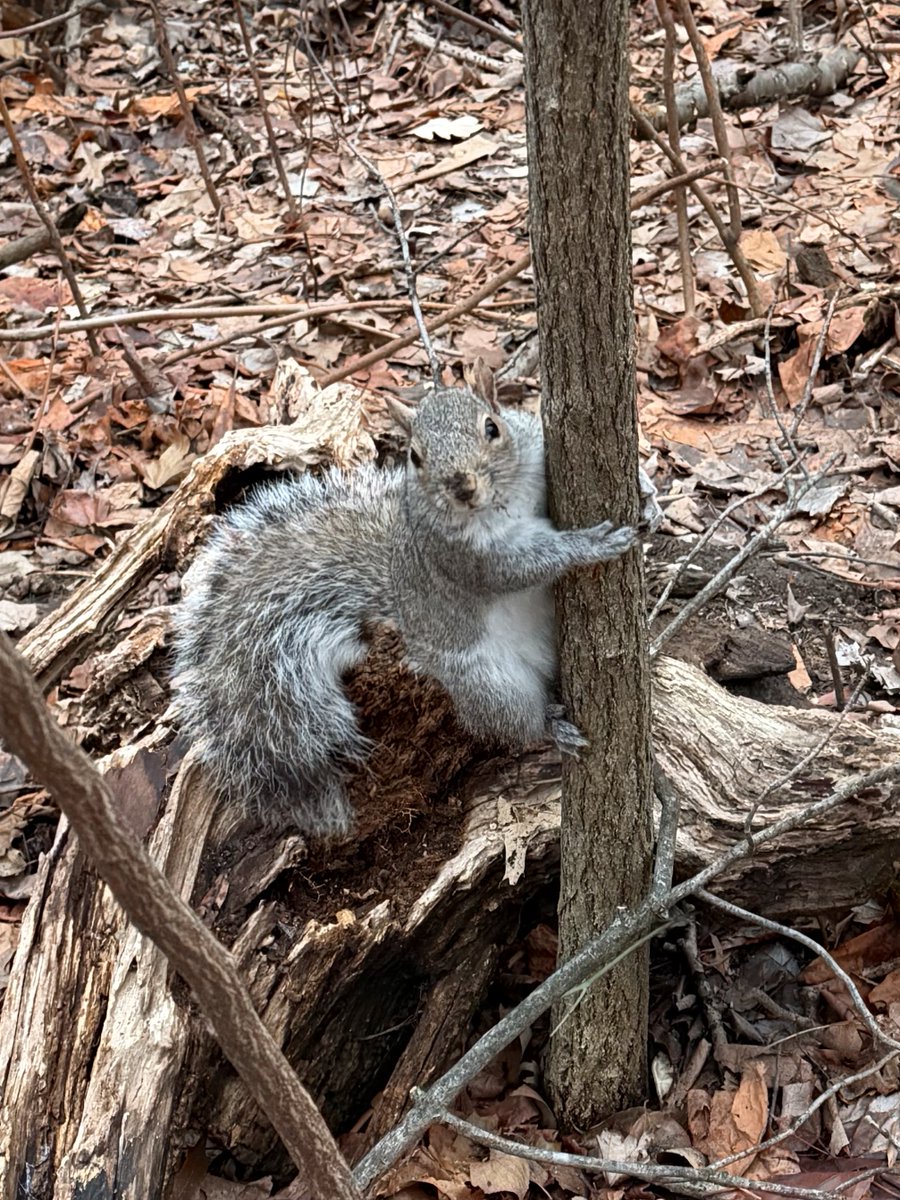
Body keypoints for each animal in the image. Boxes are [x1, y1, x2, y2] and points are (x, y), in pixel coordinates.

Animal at [171, 385, 643, 837]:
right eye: (415, 456)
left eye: (492, 427)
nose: (462, 487)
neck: (502, 501)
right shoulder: (461, 556)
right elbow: (518, 567)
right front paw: (588, 546)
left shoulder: (532, 448)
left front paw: (646, 492)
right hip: (490, 683)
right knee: (513, 722)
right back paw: (550, 725)